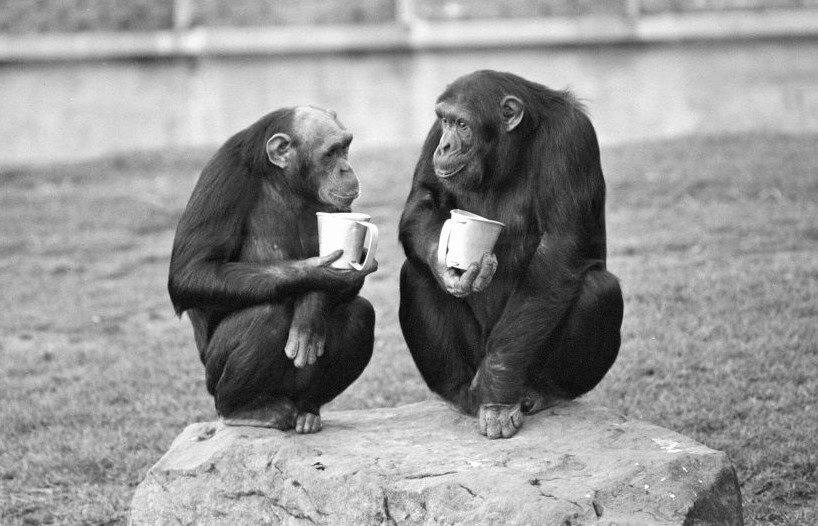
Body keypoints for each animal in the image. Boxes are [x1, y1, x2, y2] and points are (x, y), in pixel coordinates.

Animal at [172, 106, 380, 434]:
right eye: (331, 153)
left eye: (345, 147)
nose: (346, 168)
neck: (282, 179)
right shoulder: (223, 175)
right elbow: (191, 271)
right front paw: (318, 274)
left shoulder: (339, 207)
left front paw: (310, 310)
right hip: (215, 381)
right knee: (266, 316)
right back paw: (246, 410)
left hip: (297, 390)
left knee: (359, 312)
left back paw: (308, 411)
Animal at [398, 70, 620, 442]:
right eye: (445, 121)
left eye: (463, 124)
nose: (445, 146)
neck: (512, 148)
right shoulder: (431, 135)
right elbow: (423, 202)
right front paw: (445, 266)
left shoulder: (573, 138)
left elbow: (558, 249)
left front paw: (498, 399)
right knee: (413, 273)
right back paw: (461, 393)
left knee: (599, 288)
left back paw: (541, 393)